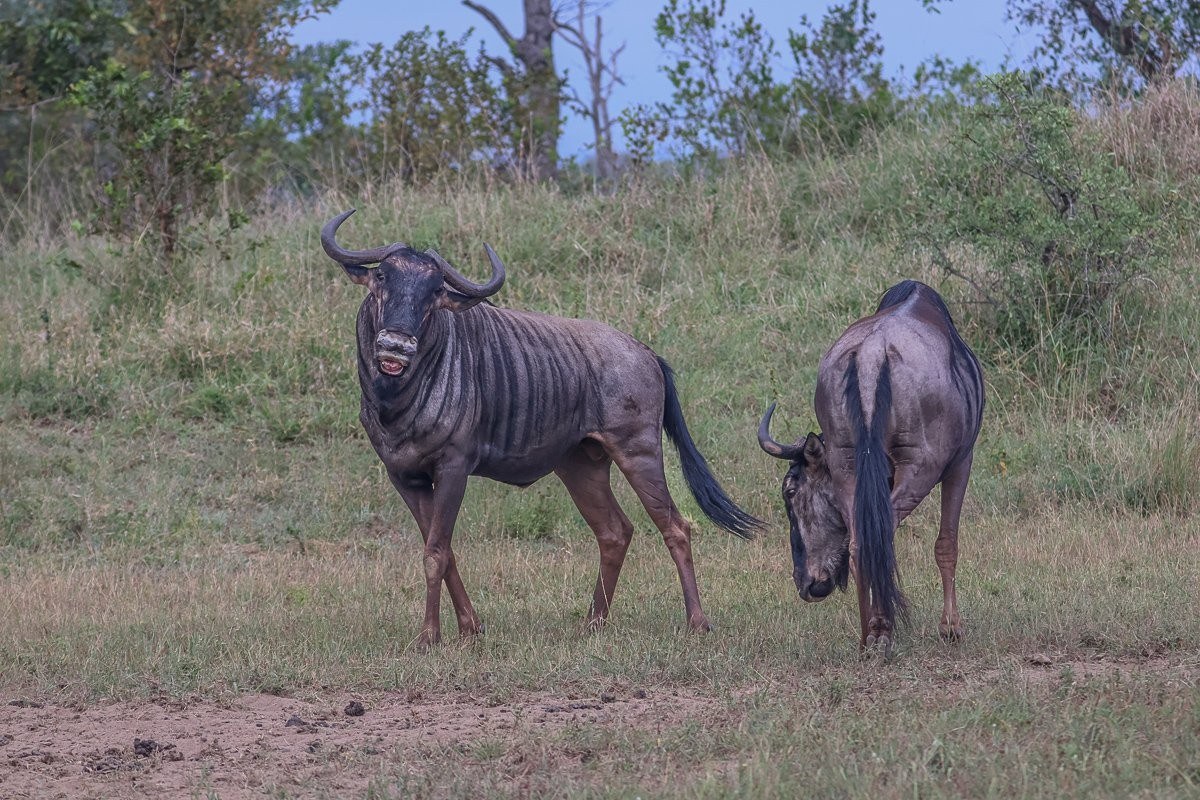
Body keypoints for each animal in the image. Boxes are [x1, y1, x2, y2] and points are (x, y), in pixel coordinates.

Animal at [321, 209, 762, 649]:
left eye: (434, 290)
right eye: (382, 276)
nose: (396, 347)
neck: (398, 399)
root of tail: (646, 351)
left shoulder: (453, 467)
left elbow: (435, 553)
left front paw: (429, 637)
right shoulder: (404, 476)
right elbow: (445, 551)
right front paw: (470, 627)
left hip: (639, 453)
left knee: (676, 526)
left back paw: (697, 622)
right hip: (581, 465)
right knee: (615, 531)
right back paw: (593, 623)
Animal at [757, 280, 984, 655]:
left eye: (790, 492)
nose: (804, 584)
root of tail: (870, 356)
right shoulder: (961, 462)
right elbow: (947, 544)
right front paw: (951, 628)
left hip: (848, 462)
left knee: (860, 542)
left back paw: (870, 635)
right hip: (920, 466)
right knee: (884, 533)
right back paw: (884, 632)